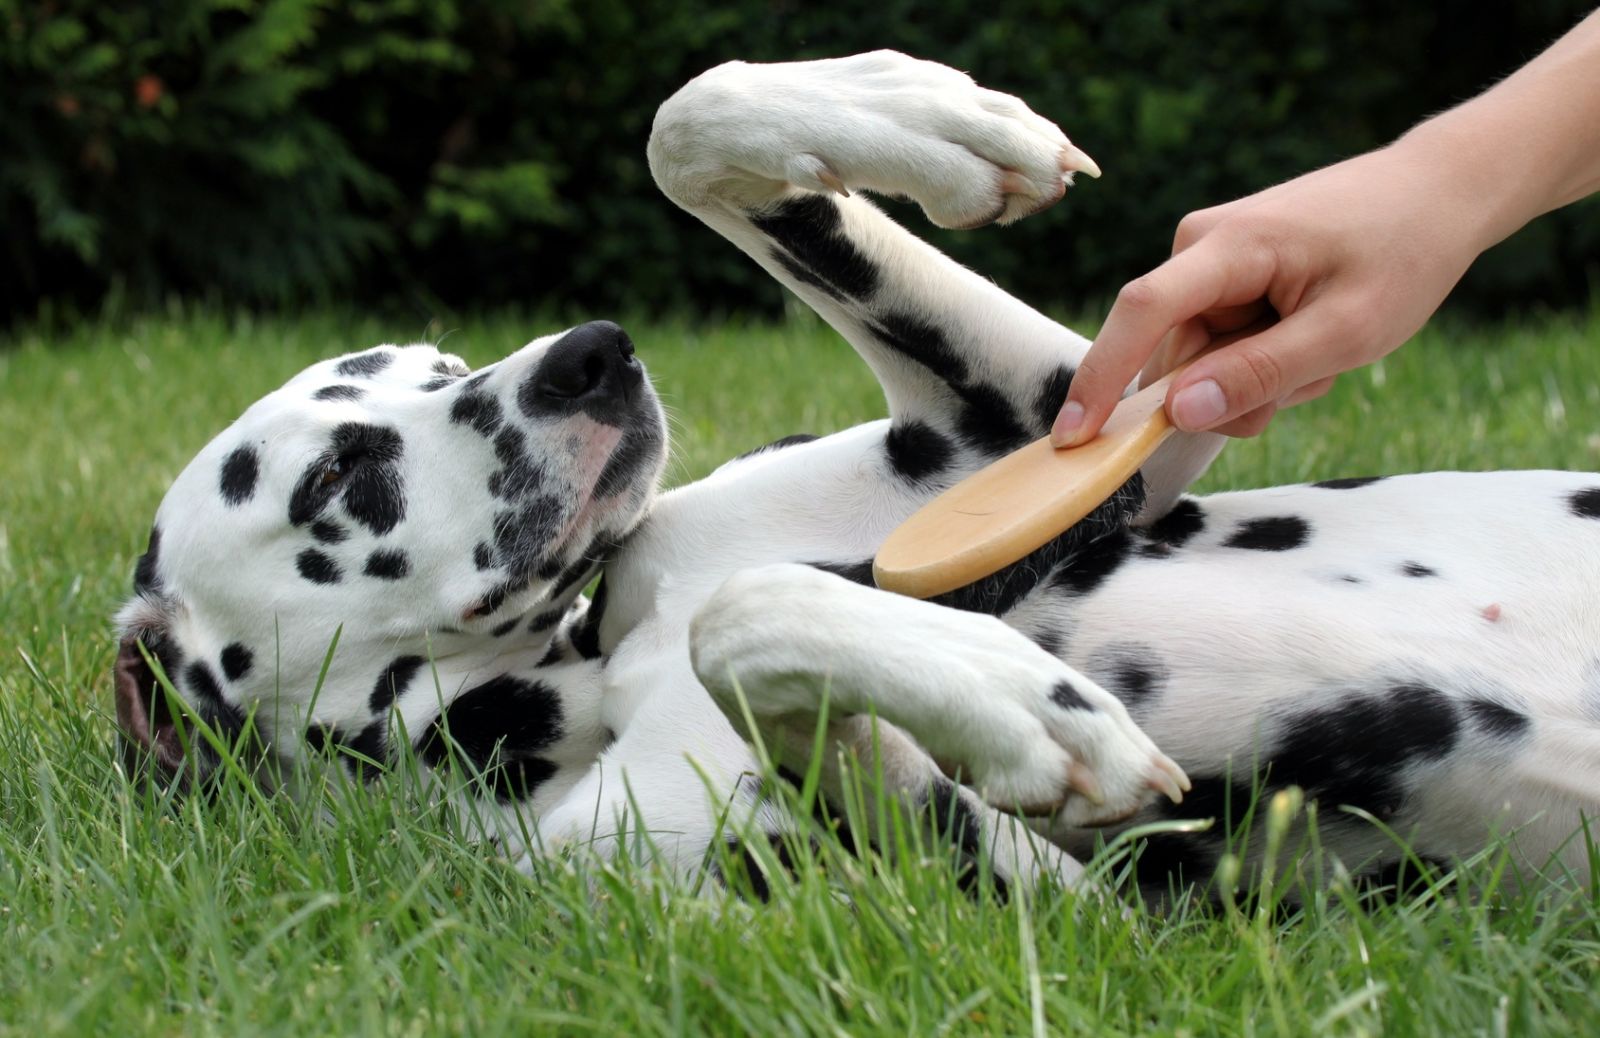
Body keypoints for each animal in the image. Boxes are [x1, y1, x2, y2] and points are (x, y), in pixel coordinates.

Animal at [116, 52, 1600, 895]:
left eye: (436, 362)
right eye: (335, 475)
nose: (590, 356)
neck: (579, 676)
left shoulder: (1036, 421)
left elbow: (684, 116)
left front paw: (927, 116)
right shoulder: (1062, 910)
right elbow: (752, 620)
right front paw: (1024, 701)